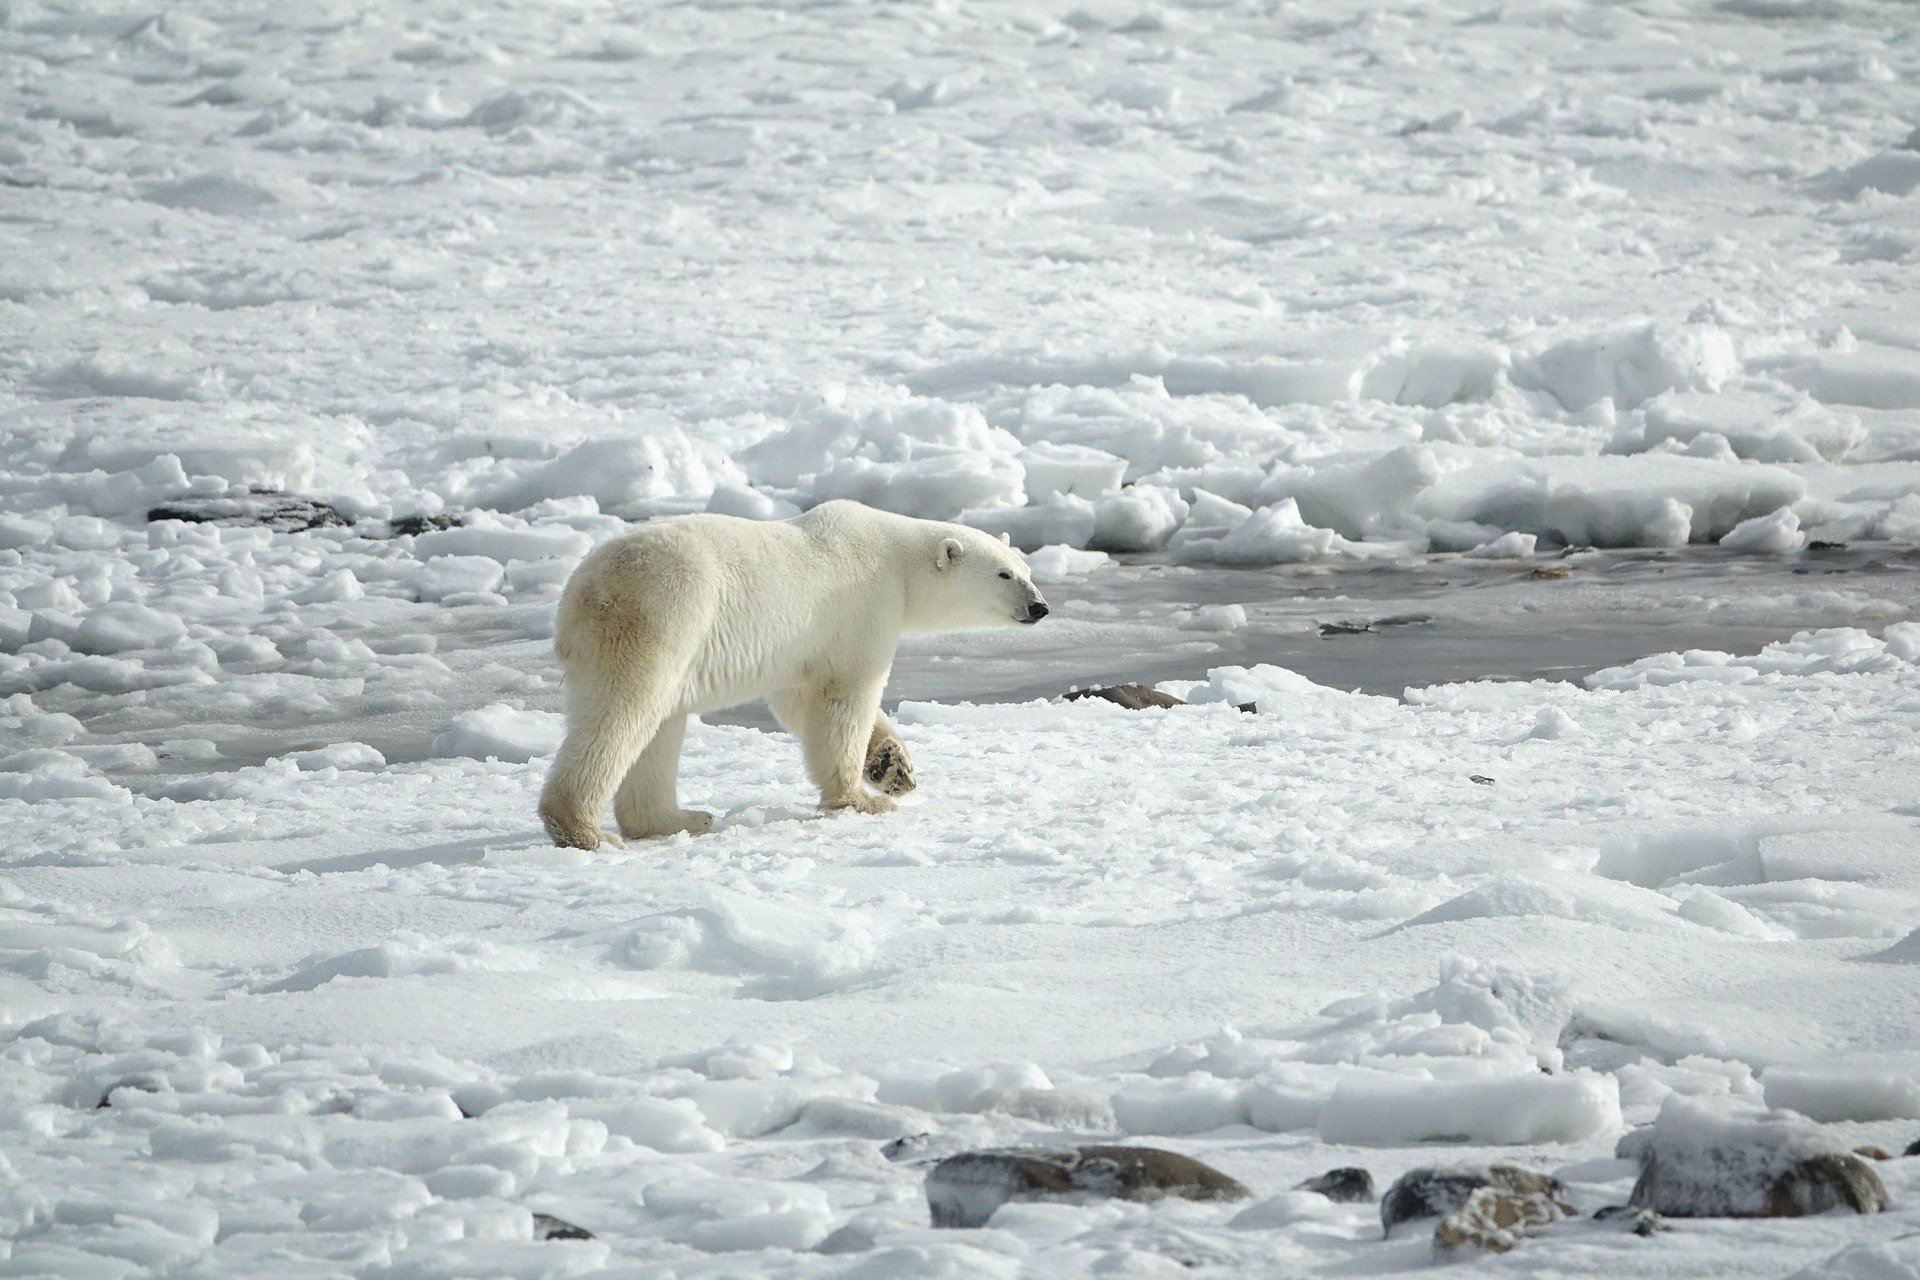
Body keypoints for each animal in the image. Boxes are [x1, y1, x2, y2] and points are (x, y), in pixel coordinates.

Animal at [537, 498, 1052, 852]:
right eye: (1004, 575)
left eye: (1026, 568)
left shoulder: (804, 646)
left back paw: (681, 819)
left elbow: (799, 701)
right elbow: (845, 695)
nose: (1040, 607)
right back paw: (585, 831)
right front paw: (862, 798)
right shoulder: (861, 607)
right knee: (624, 713)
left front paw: (893, 767)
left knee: (660, 725)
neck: (897, 560)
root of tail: (581, 595)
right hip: (662, 615)